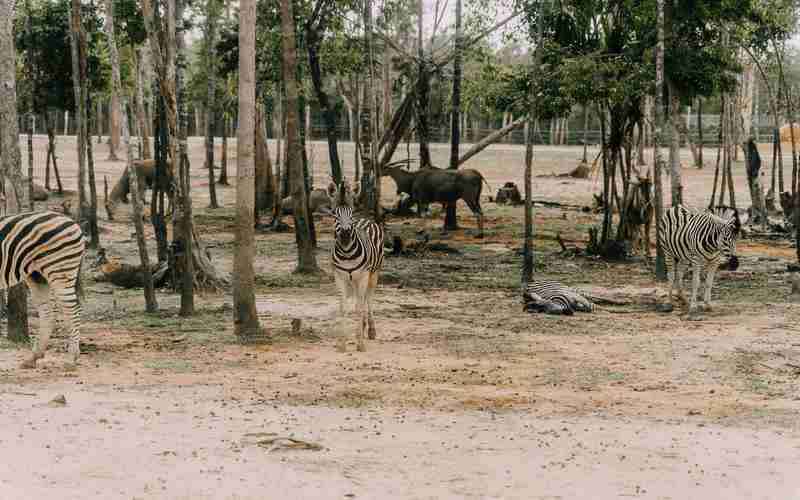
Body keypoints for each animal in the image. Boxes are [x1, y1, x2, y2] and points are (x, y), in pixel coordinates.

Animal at [0, 210, 87, 368]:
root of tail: (72, 221)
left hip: (60, 271)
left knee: (72, 310)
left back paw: (72, 358)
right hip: (37, 276)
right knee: (47, 312)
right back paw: (34, 356)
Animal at [326, 181, 386, 352]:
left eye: (351, 213)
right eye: (334, 213)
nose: (346, 235)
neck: (347, 253)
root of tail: (365, 218)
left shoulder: (363, 275)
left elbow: (359, 306)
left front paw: (360, 343)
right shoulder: (339, 276)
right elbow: (343, 307)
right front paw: (342, 343)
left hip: (374, 273)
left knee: (368, 297)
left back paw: (370, 329)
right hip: (352, 279)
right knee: (362, 298)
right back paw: (362, 327)